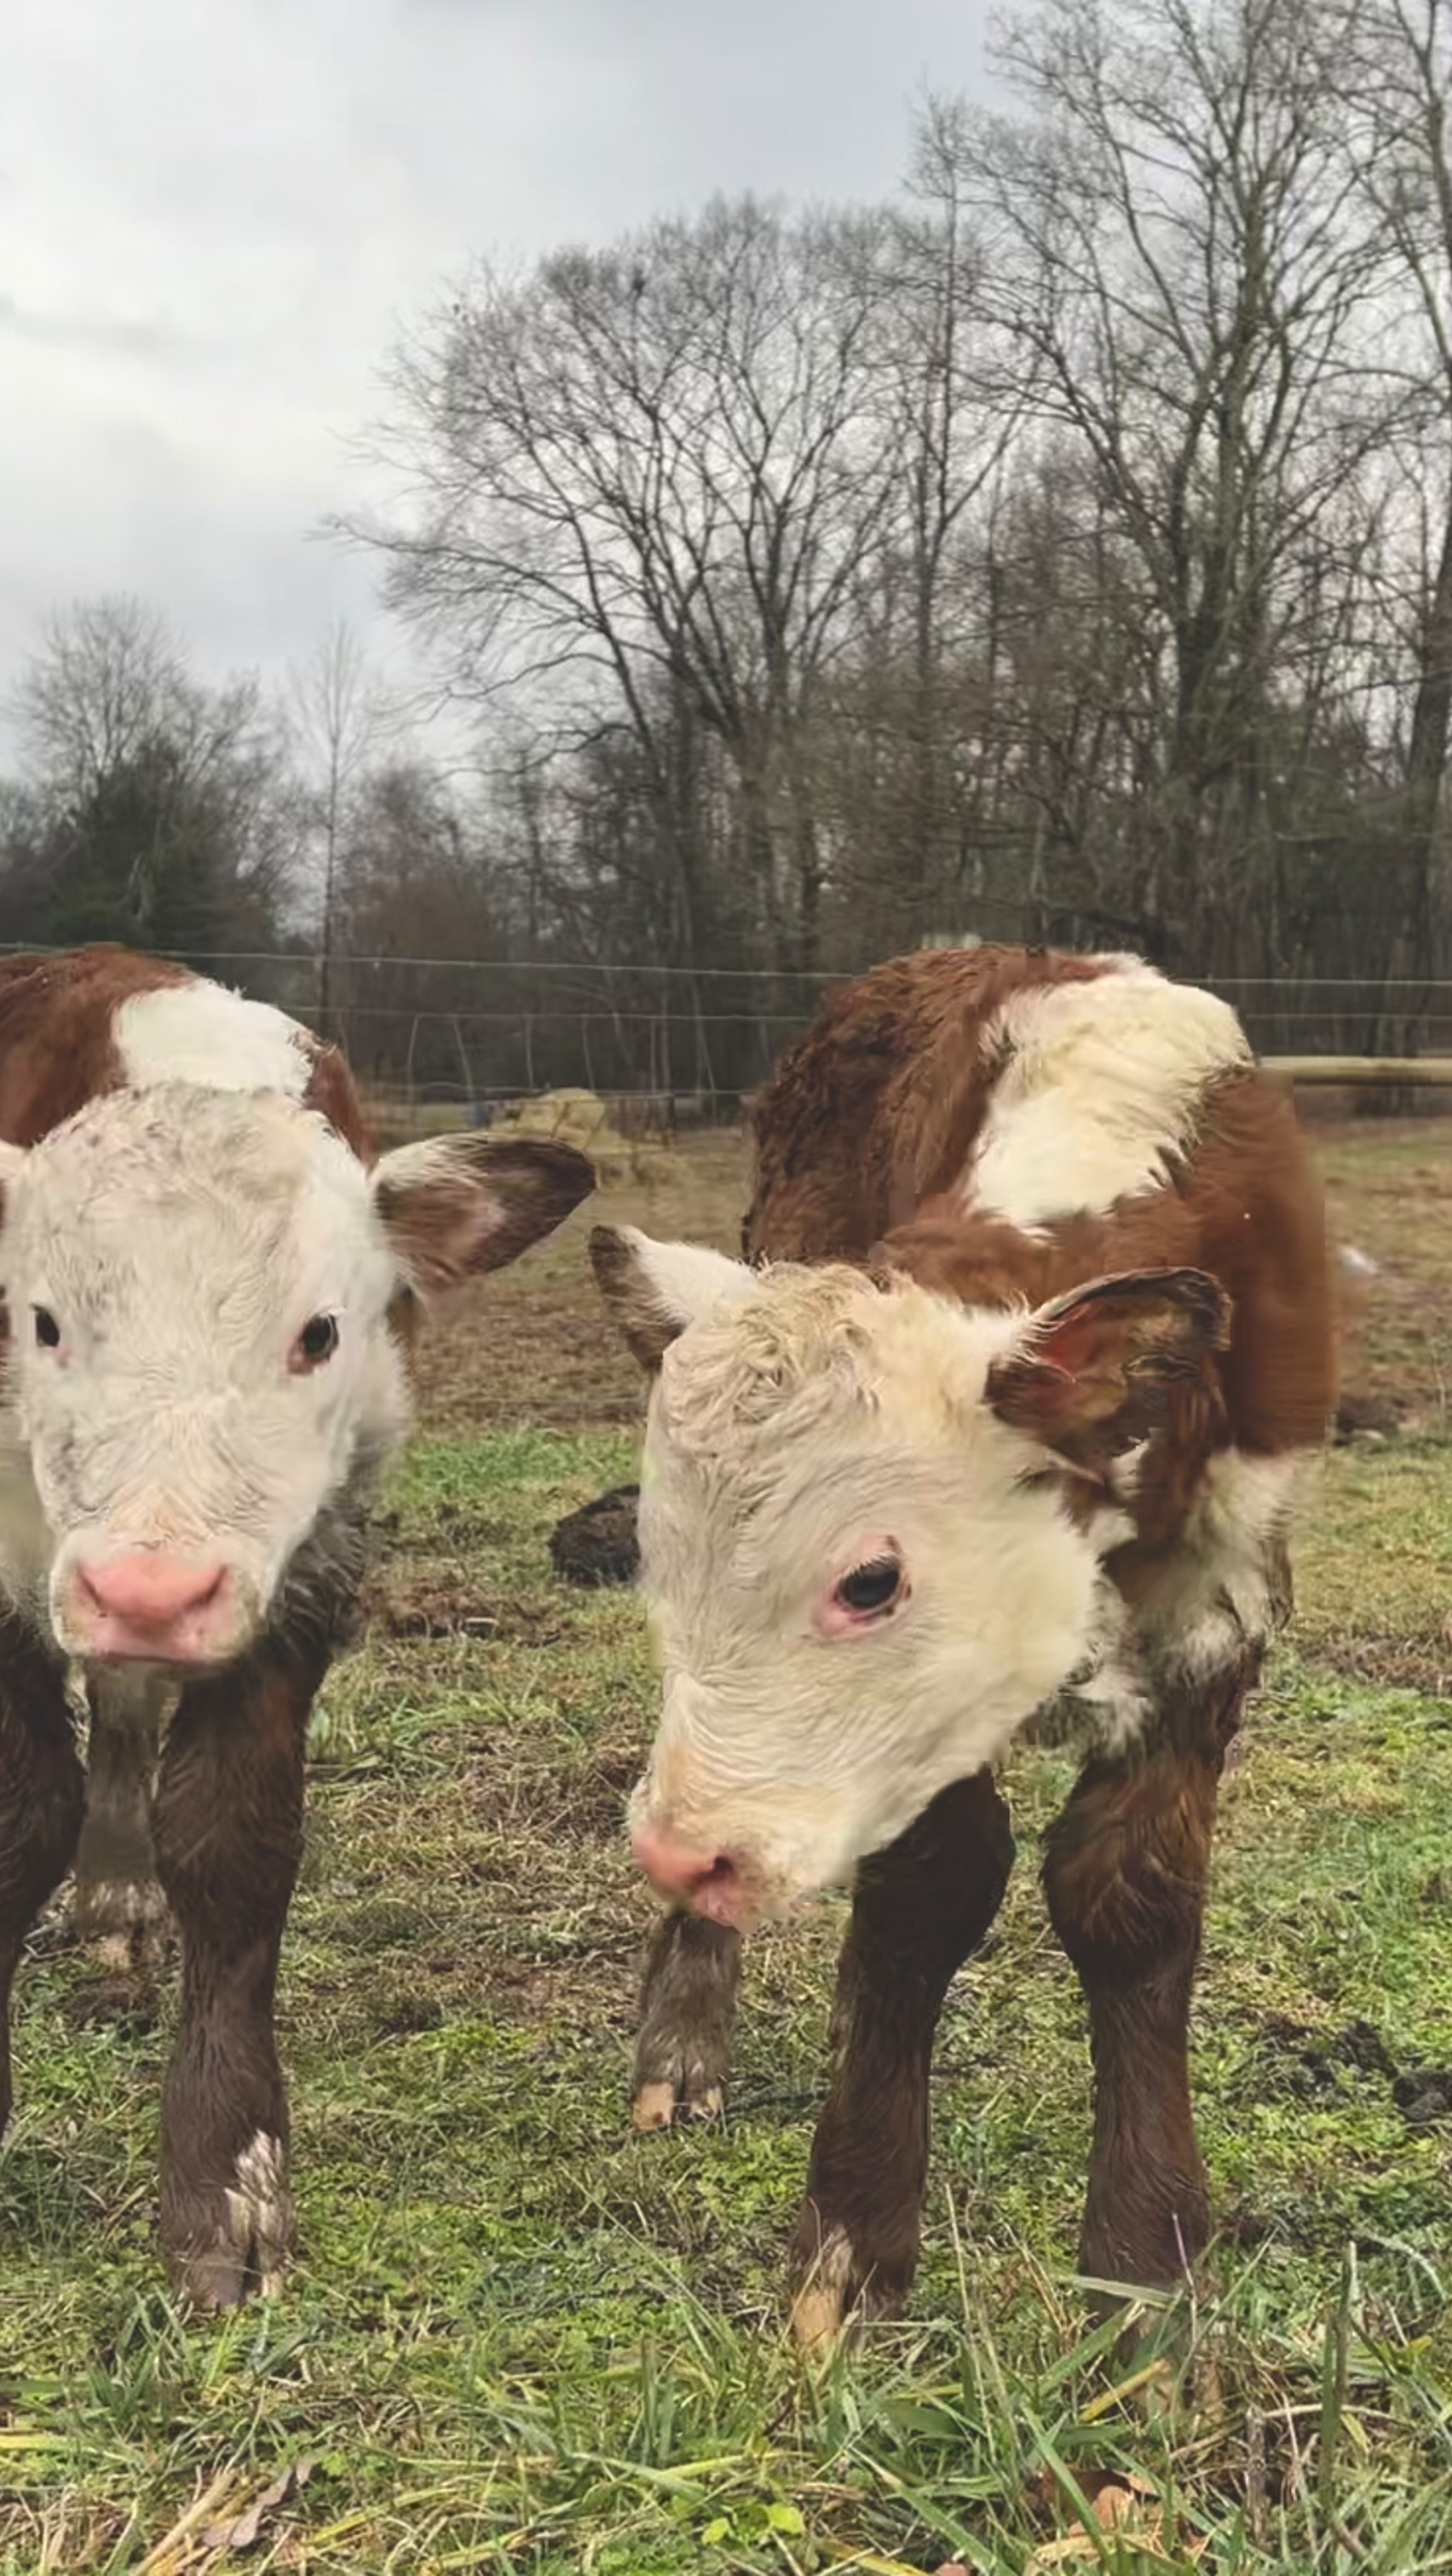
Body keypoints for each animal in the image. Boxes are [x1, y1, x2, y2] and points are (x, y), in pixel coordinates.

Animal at [0, 946, 594, 2305]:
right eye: (43, 1323)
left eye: (318, 1333)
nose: (149, 1592)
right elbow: (19, 1816)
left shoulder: (315, 1561)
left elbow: (232, 1837)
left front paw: (224, 2182)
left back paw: (118, 1907)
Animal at [587, 945, 1336, 2346]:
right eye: (657, 1553)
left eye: (871, 1579)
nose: (679, 1850)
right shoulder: (917, 1737)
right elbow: (928, 1889)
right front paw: (851, 2242)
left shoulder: (1227, 1599)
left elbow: (1133, 1895)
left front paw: (1148, 2271)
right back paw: (685, 2040)